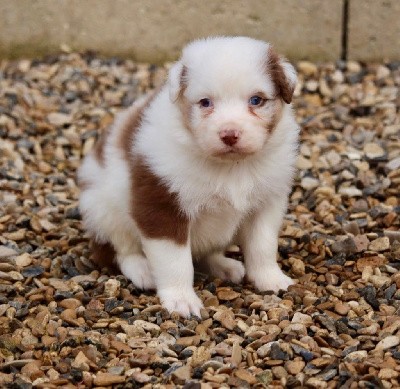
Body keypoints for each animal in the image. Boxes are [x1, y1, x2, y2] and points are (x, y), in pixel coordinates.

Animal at [78, 35, 298, 316]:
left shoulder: (268, 202)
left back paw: (224, 265)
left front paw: (271, 279)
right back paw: (142, 270)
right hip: (103, 210)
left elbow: (263, 245)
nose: (229, 134)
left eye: (256, 100)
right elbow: (175, 260)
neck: (230, 166)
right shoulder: (162, 203)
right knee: (118, 250)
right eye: (205, 102)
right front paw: (180, 299)